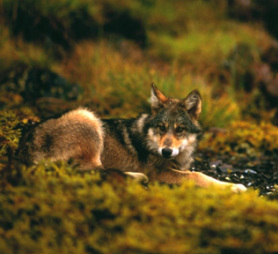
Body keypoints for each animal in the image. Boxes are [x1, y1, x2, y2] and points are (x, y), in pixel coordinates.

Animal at [18, 84, 247, 191]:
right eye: (162, 128)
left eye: (179, 130)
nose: (166, 151)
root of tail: (24, 148)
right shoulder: (160, 173)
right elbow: (199, 176)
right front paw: (235, 187)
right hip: (88, 117)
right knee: (91, 171)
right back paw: (137, 176)